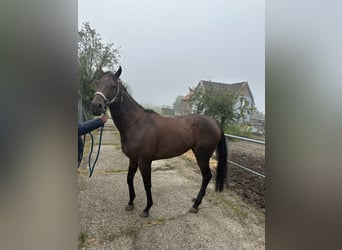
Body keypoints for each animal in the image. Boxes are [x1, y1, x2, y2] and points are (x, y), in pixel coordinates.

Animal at [91, 66, 227, 217]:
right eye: (97, 83)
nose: (95, 106)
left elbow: (147, 184)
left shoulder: (145, 161)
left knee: (207, 176)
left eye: (113, 86)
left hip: (202, 156)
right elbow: (129, 178)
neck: (136, 124)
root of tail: (215, 123)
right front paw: (131, 203)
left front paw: (146, 209)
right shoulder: (133, 159)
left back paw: (195, 205)